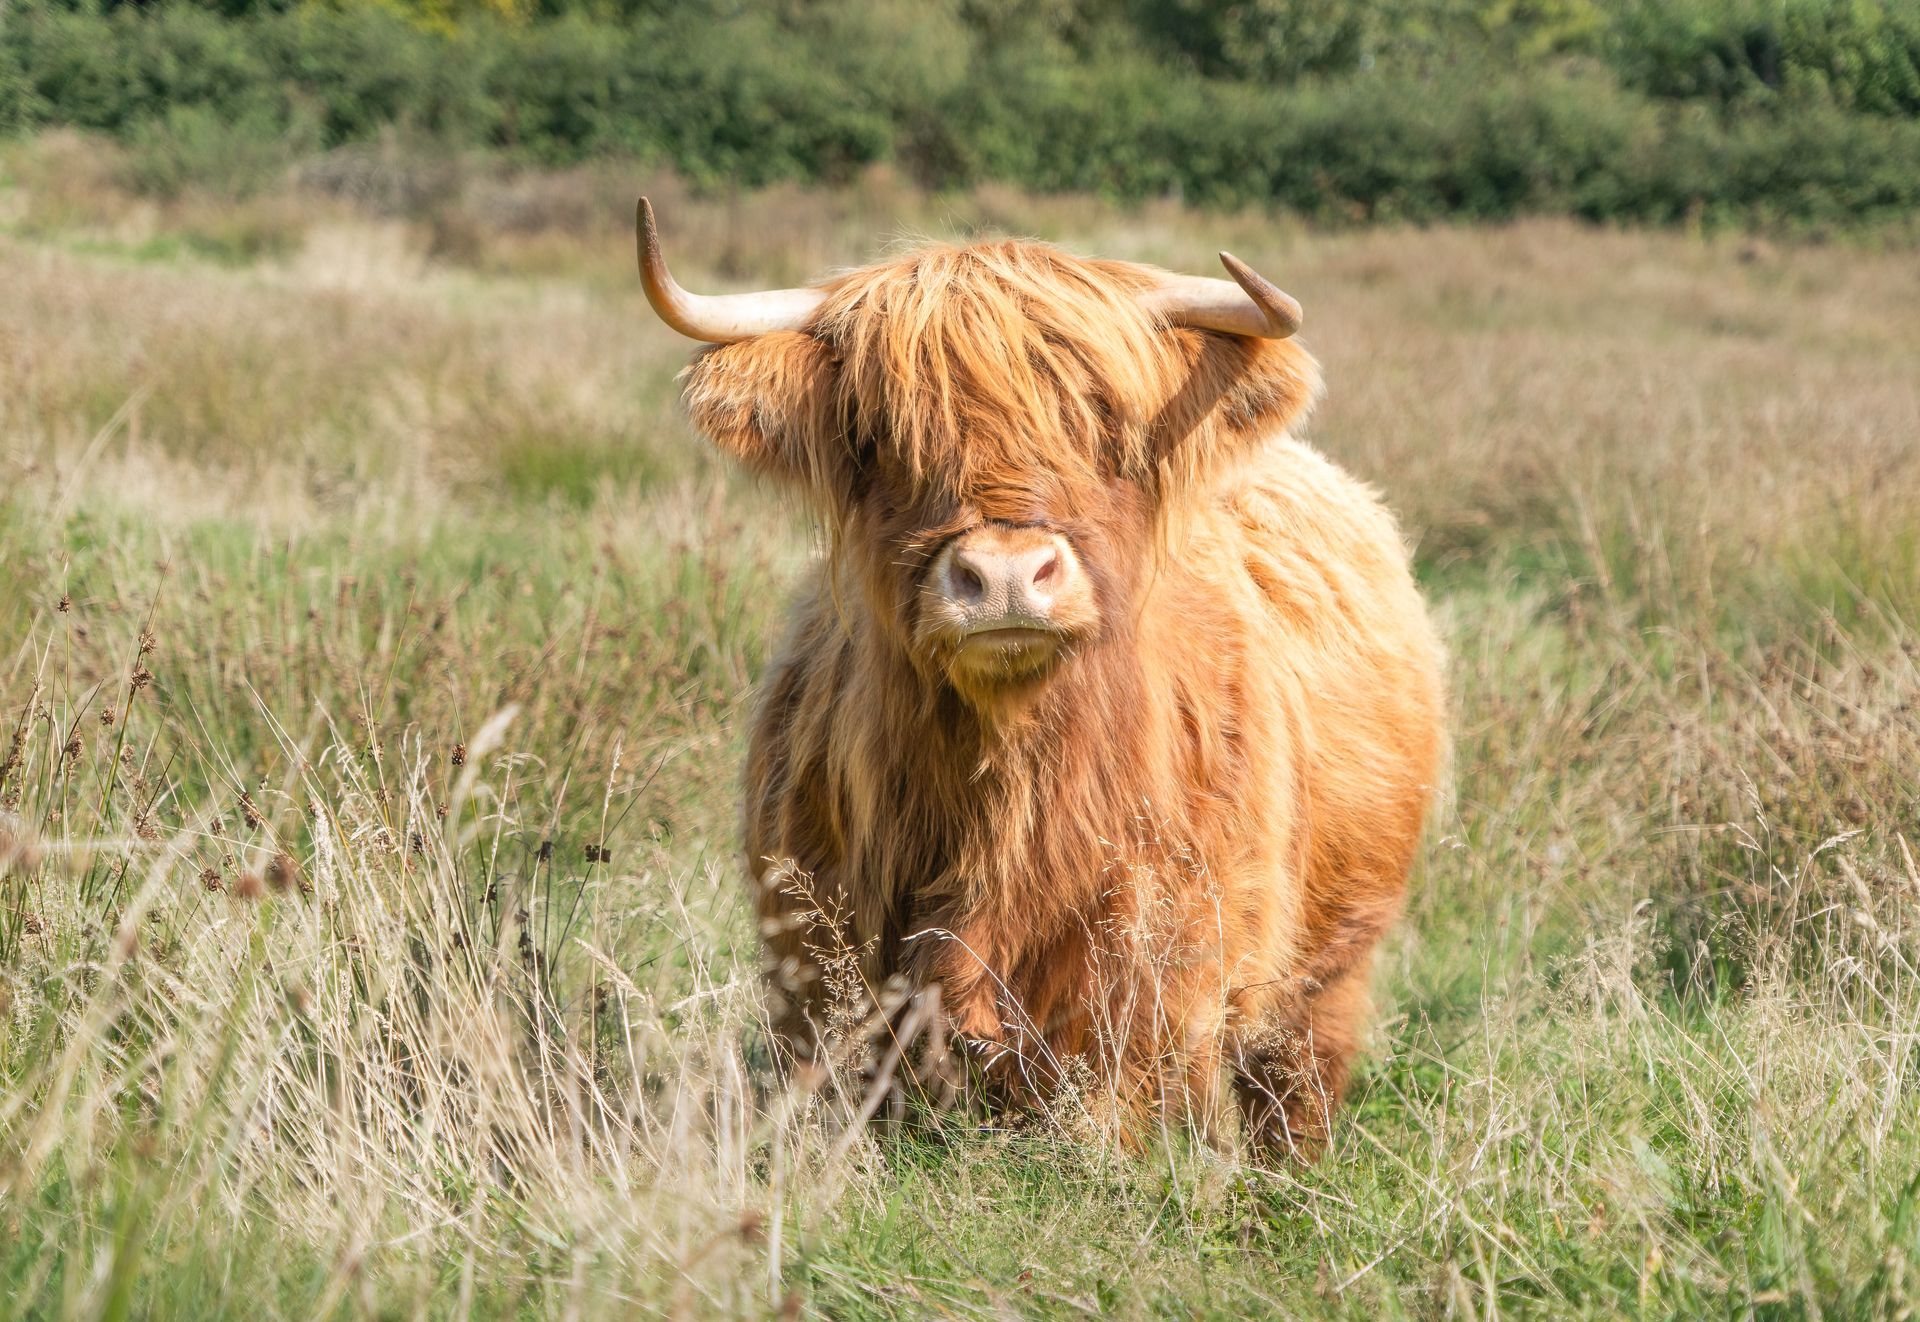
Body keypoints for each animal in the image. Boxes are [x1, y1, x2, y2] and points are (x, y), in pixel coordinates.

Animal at [636, 199, 1446, 1159]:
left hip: (1330, 969)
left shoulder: (1149, 1000)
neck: (1012, 793)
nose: (1006, 574)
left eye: (1103, 425)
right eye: (877, 438)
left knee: (1297, 1084)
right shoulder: (822, 985)